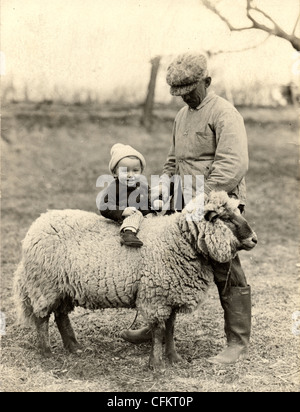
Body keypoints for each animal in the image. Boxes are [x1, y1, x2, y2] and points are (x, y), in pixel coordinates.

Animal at [14, 191, 256, 370]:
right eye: (226, 218)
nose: (254, 239)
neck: (179, 240)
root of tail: (38, 223)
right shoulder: (156, 294)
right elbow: (158, 331)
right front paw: (156, 365)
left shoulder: (169, 294)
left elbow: (170, 328)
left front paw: (174, 358)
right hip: (44, 284)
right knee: (42, 318)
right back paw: (47, 353)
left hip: (63, 286)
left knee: (61, 316)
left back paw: (75, 348)